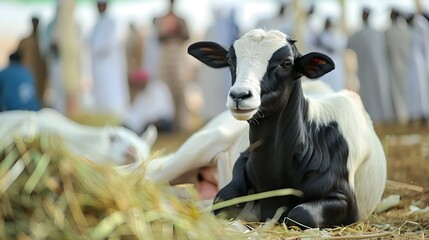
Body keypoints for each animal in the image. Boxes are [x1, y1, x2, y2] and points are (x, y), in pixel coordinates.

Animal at [189, 29, 386, 228]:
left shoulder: (347, 202)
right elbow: (222, 201)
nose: (239, 95)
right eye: (229, 60)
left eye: (287, 63)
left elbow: (301, 214)